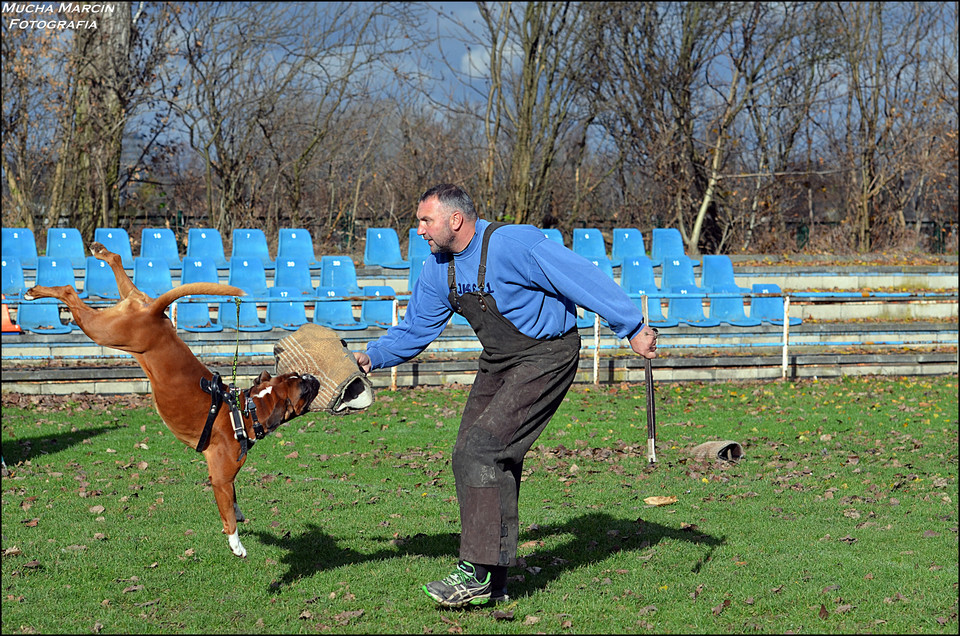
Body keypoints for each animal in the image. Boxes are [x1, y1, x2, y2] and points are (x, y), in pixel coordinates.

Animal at [22, 241, 320, 560]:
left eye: (299, 377)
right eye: (303, 389)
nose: (314, 378)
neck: (245, 411)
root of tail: (154, 313)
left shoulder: (226, 479)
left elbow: (234, 502)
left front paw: (239, 516)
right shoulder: (221, 479)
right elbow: (227, 513)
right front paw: (236, 544)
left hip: (126, 310)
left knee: (115, 264)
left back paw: (98, 252)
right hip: (104, 331)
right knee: (68, 291)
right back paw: (38, 290)